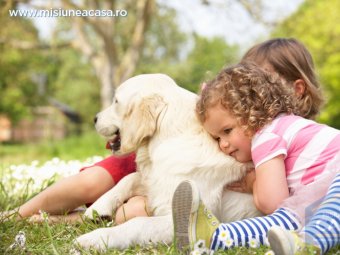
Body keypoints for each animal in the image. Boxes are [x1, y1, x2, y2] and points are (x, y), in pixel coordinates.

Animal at [75, 73, 260, 251]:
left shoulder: (179, 218)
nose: (94, 118)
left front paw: (95, 238)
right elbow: (129, 178)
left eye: (116, 101)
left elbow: (138, 223)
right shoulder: (156, 183)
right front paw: (97, 209)